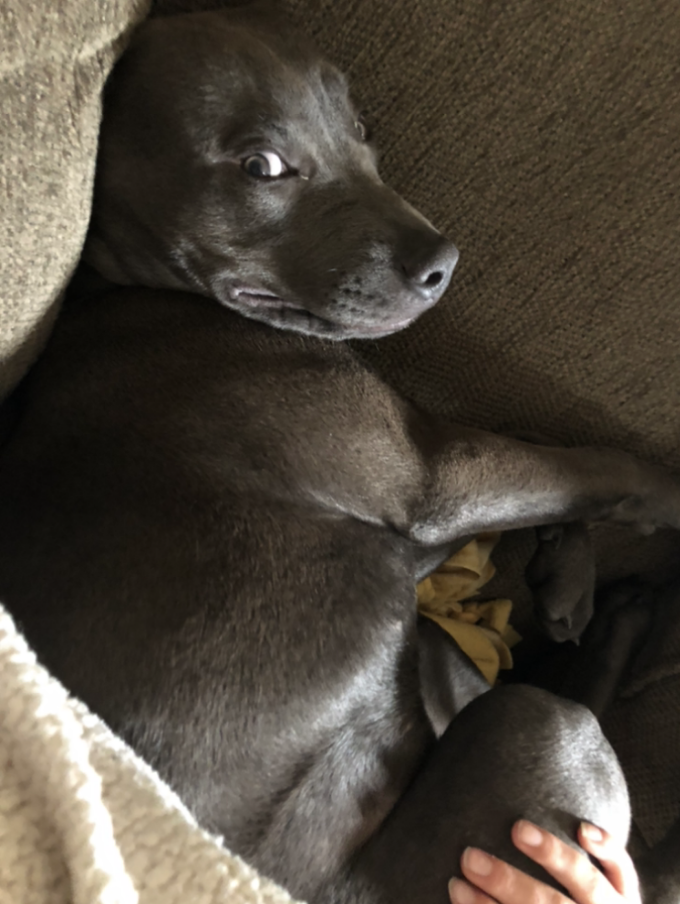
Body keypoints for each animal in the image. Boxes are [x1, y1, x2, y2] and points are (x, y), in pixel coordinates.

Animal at [1, 7, 680, 904]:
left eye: (361, 129)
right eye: (262, 165)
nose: (440, 264)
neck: (125, 291)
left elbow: (551, 457)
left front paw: (566, 573)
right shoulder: (438, 473)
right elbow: (597, 465)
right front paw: (666, 498)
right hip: (535, 742)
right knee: (596, 791)